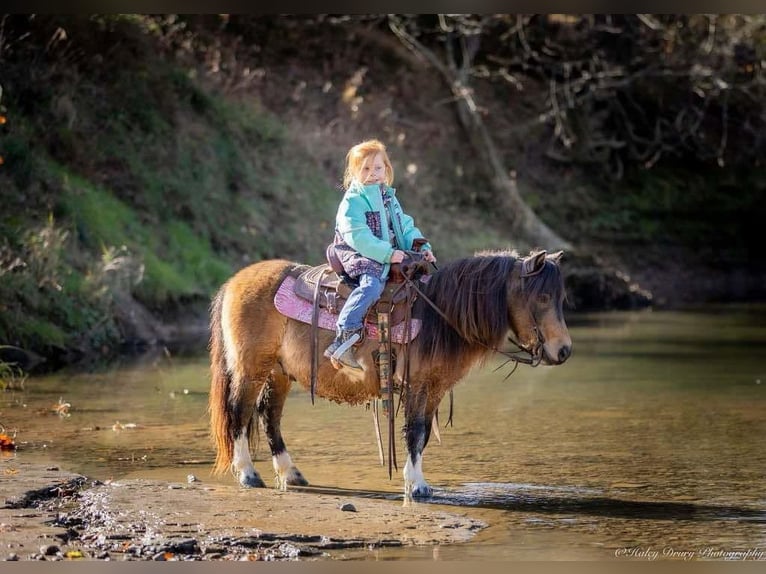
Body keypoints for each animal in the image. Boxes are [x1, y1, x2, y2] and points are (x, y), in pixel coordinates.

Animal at [208, 251, 568, 500]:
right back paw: (249, 474)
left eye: (561, 298)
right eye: (542, 297)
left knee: (269, 417)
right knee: (239, 413)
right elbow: (415, 432)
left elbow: (423, 434)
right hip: (251, 368)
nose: (564, 350)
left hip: (279, 373)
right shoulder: (417, 385)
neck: (439, 315)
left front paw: (417, 482)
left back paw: (291, 473)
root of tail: (233, 283)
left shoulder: (434, 387)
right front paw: (416, 485)